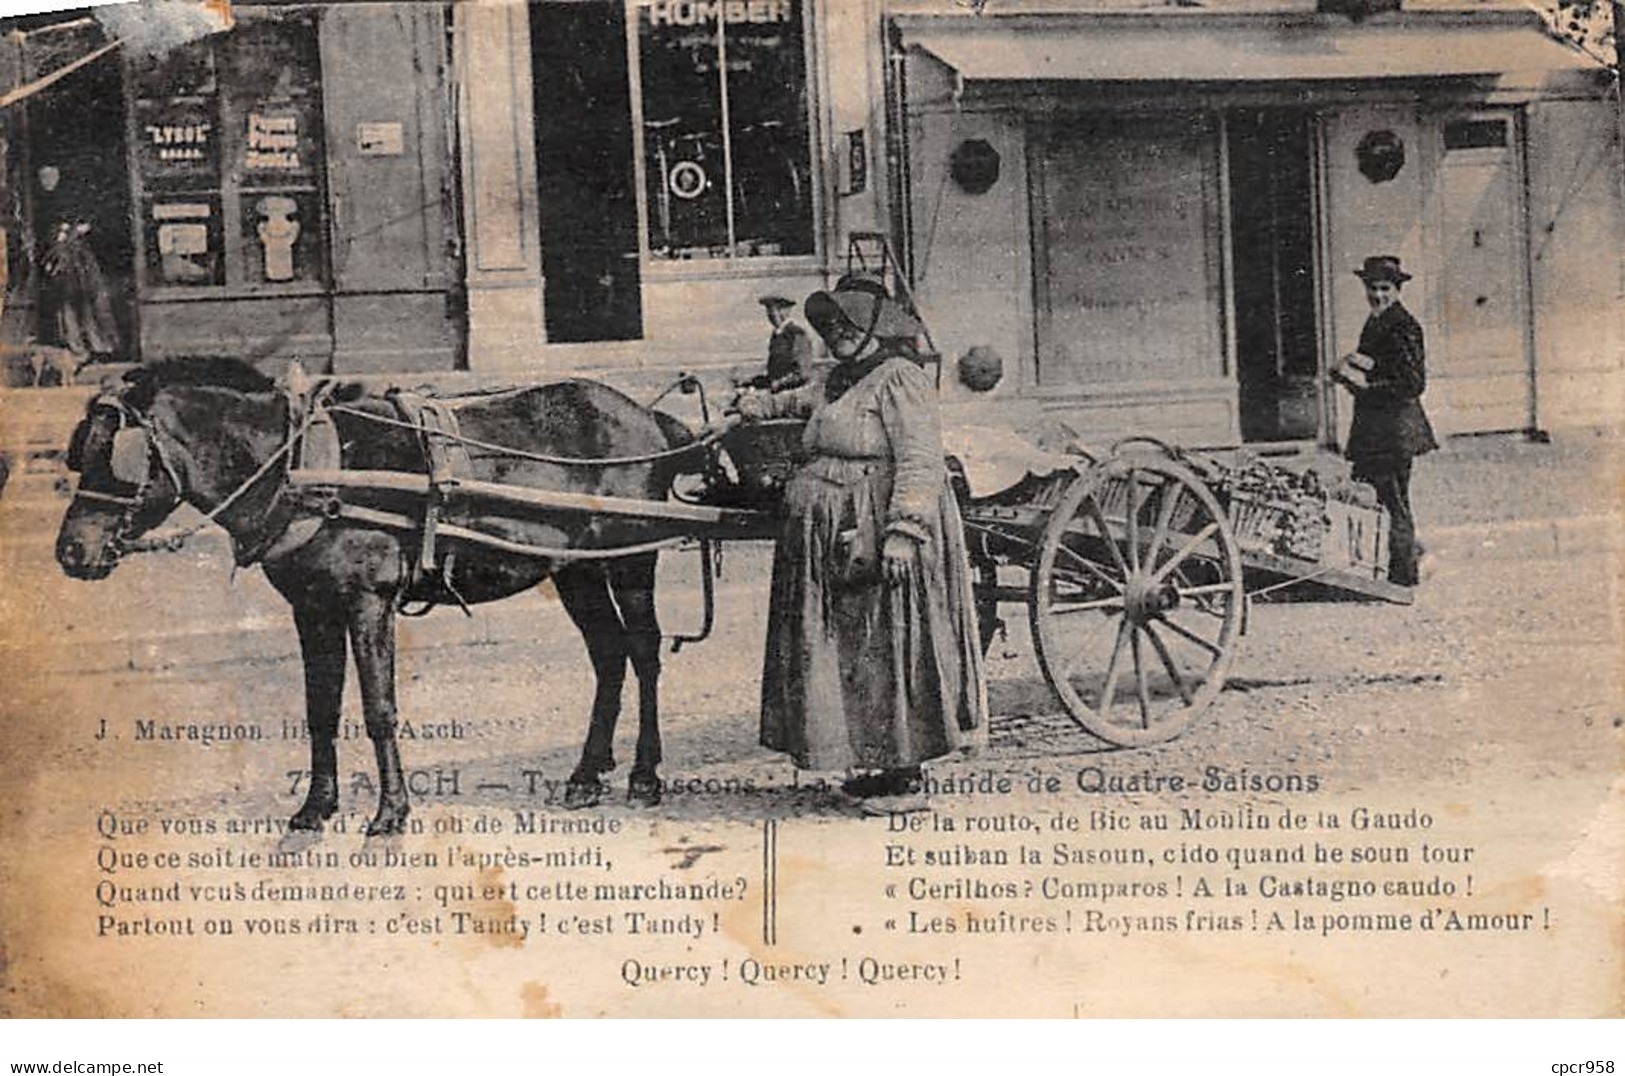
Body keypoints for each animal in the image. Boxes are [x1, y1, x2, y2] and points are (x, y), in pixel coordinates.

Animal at [54, 357, 702, 838]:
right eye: (81, 452)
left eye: (118, 459)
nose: (70, 553)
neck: (302, 469)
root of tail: (649, 416)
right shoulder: (312, 608)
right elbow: (320, 709)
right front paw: (315, 808)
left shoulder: (369, 601)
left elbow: (378, 708)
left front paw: (391, 812)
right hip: (576, 571)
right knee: (609, 656)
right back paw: (587, 774)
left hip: (631, 559)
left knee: (643, 652)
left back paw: (645, 774)